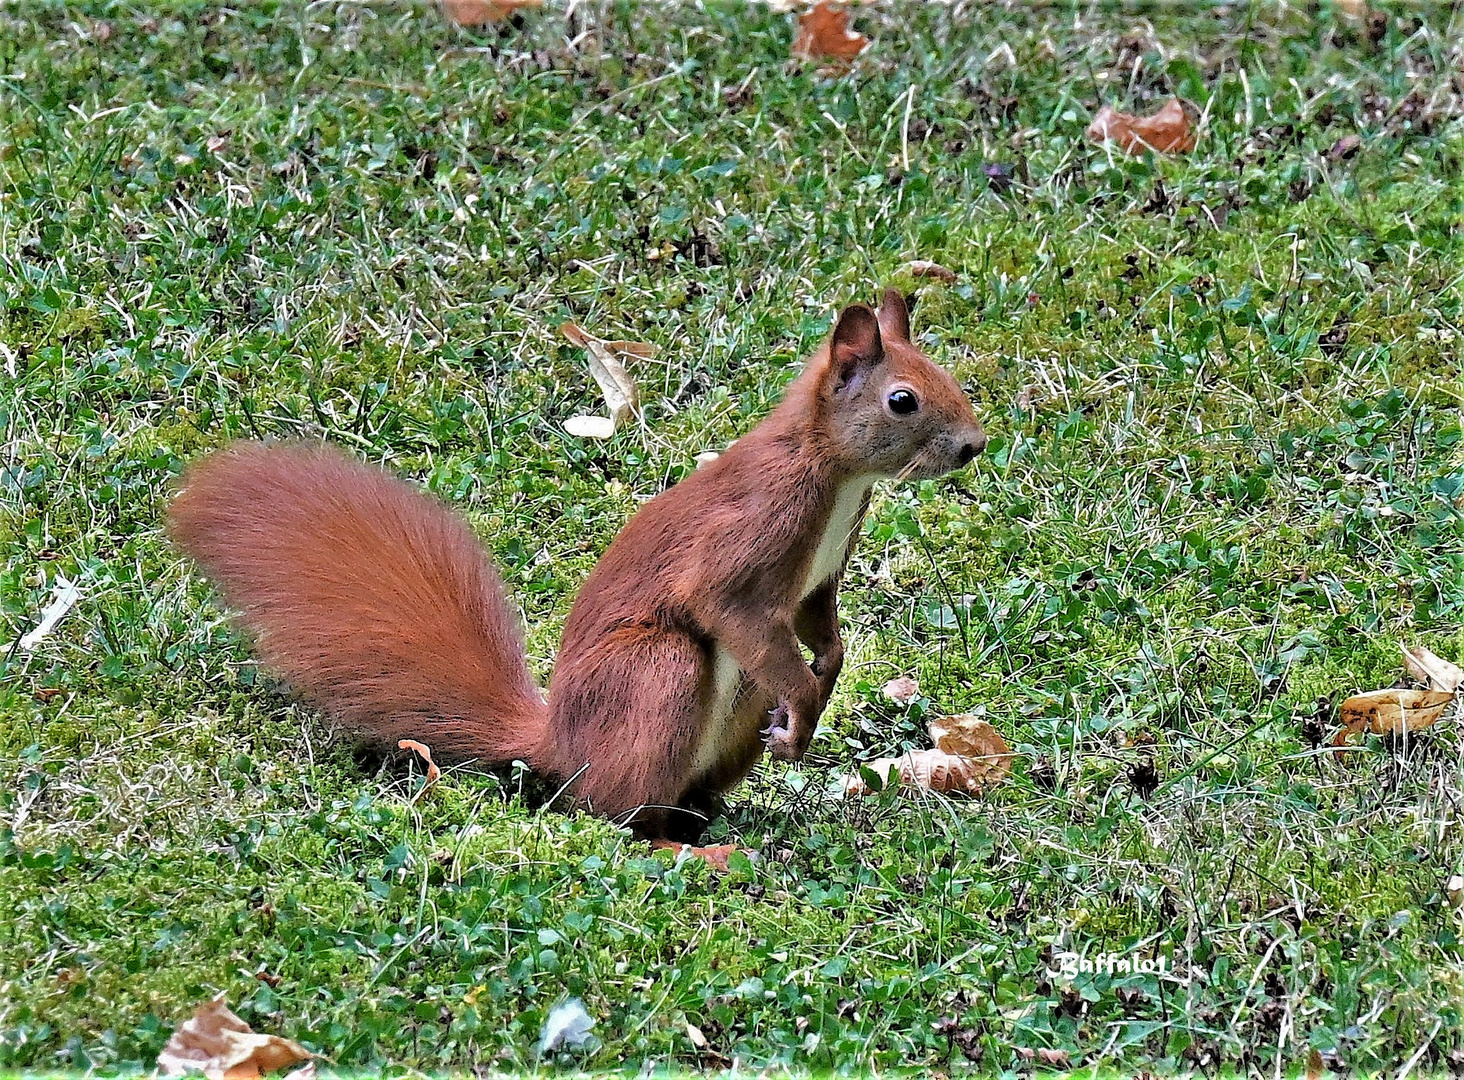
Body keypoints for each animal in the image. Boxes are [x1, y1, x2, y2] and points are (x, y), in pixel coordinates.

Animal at [168, 288, 983, 842]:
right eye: (903, 401)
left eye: (946, 377)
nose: (974, 445)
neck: (835, 476)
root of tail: (562, 745)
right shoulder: (750, 538)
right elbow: (727, 605)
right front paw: (806, 709)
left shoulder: (817, 577)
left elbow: (822, 627)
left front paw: (822, 681)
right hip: (657, 672)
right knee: (617, 816)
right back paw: (688, 843)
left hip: (727, 711)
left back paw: (718, 816)